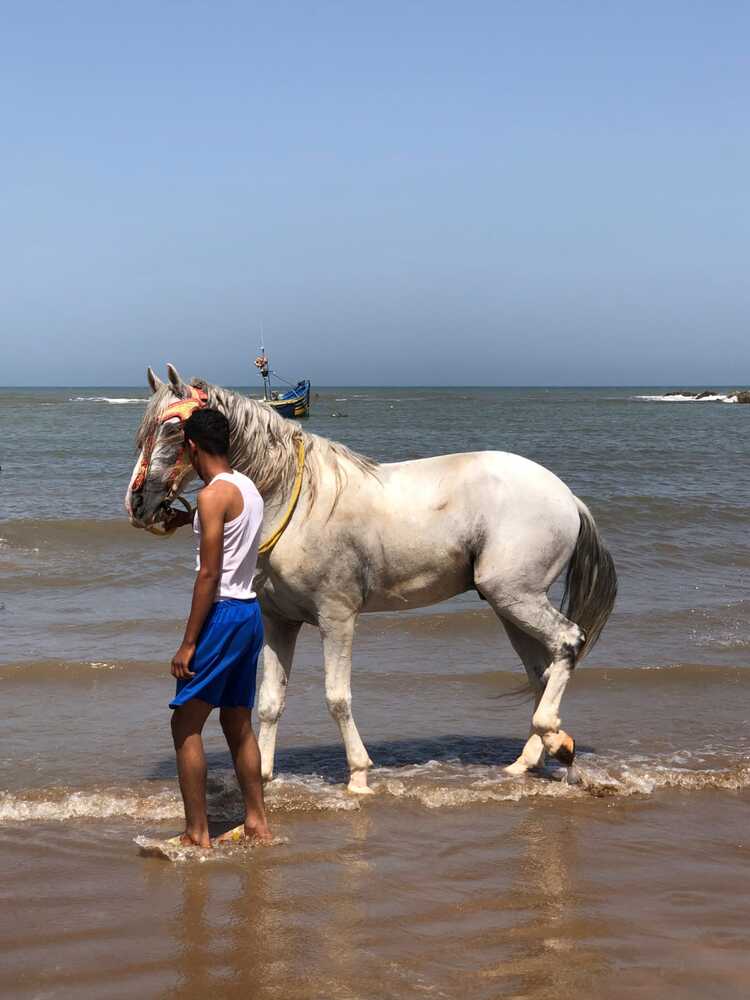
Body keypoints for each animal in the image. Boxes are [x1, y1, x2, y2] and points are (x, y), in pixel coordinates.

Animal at [126, 365, 617, 793]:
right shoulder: (279, 622)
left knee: (568, 643)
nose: (139, 504)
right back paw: (529, 759)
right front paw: (262, 774)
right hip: (508, 605)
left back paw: (556, 739)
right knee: (541, 669)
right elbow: (269, 702)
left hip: (516, 596)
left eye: (174, 430)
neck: (296, 500)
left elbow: (337, 697)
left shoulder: (337, 618)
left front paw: (358, 776)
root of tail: (566, 496)